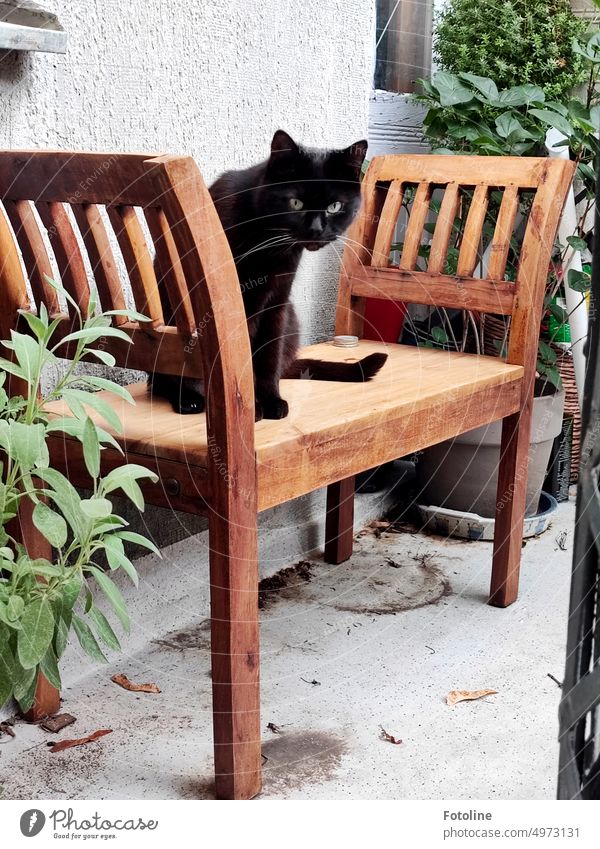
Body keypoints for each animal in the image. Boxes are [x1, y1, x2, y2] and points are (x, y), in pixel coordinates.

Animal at [148, 128, 386, 418]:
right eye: (295, 202)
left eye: (335, 206)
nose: (316, 229)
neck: (272, 248)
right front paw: (251, 408)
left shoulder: (277, 303)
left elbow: (268, 357)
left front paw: (271, 400)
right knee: (159, 381)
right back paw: (188, 398)